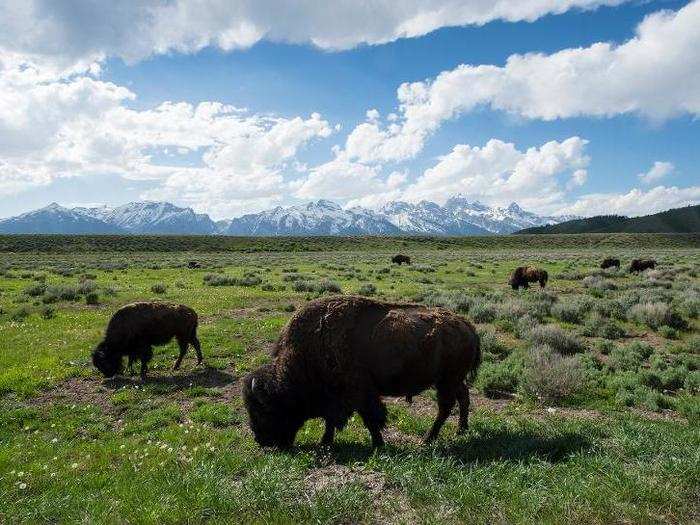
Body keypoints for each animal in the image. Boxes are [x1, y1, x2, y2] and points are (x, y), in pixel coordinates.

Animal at [242, 294, 482, 446]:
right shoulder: (338, 398)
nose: (261, 441)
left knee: (445, 407)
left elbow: (369, 418)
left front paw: (378, 443)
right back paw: (461, 429)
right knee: (463, 397)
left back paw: (428, 438)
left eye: (263, 409)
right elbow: (332, 421)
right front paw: (325, 442)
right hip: (452, 380)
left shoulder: (359, 393)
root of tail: (467, 325)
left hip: (446, 381)